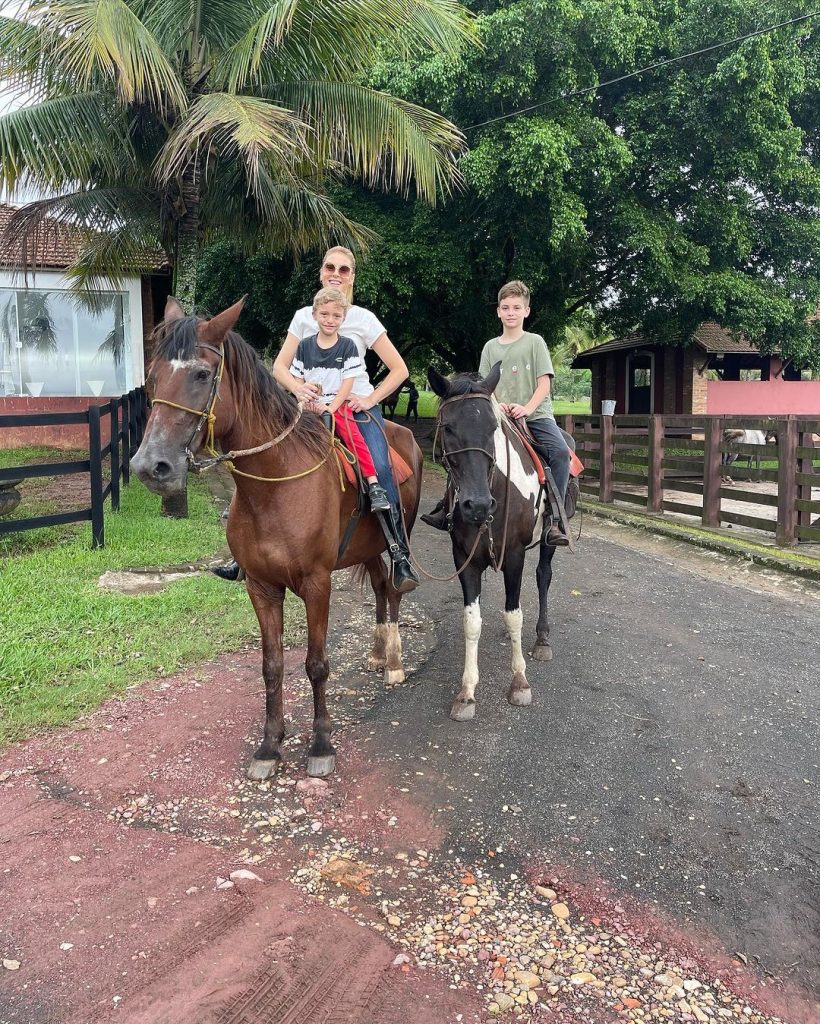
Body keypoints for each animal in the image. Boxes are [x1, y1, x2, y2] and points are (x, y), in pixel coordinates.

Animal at [132, 299, 421, 778]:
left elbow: (317, 664)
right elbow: (272, 666)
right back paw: (380, 653)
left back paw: (394, 663)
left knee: (396, 589)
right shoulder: (261, 586)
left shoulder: (317, 584)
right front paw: (270, 745)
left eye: (202, 374)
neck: (275, 485)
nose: (151, 467)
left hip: (396, 539)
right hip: (366, 549)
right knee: (381, 588)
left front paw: (321, 744)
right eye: (152, 375)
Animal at [427, 366, 577, 720]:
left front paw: (520, 681)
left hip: (548, 540)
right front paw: (466, 693)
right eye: (447, 427)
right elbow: (472, 621)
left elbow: (514, 614)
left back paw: (542, 640)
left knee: (543, 577)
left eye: (493, 427)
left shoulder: (514, 554)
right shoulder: (463, 557)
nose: (478, 505)